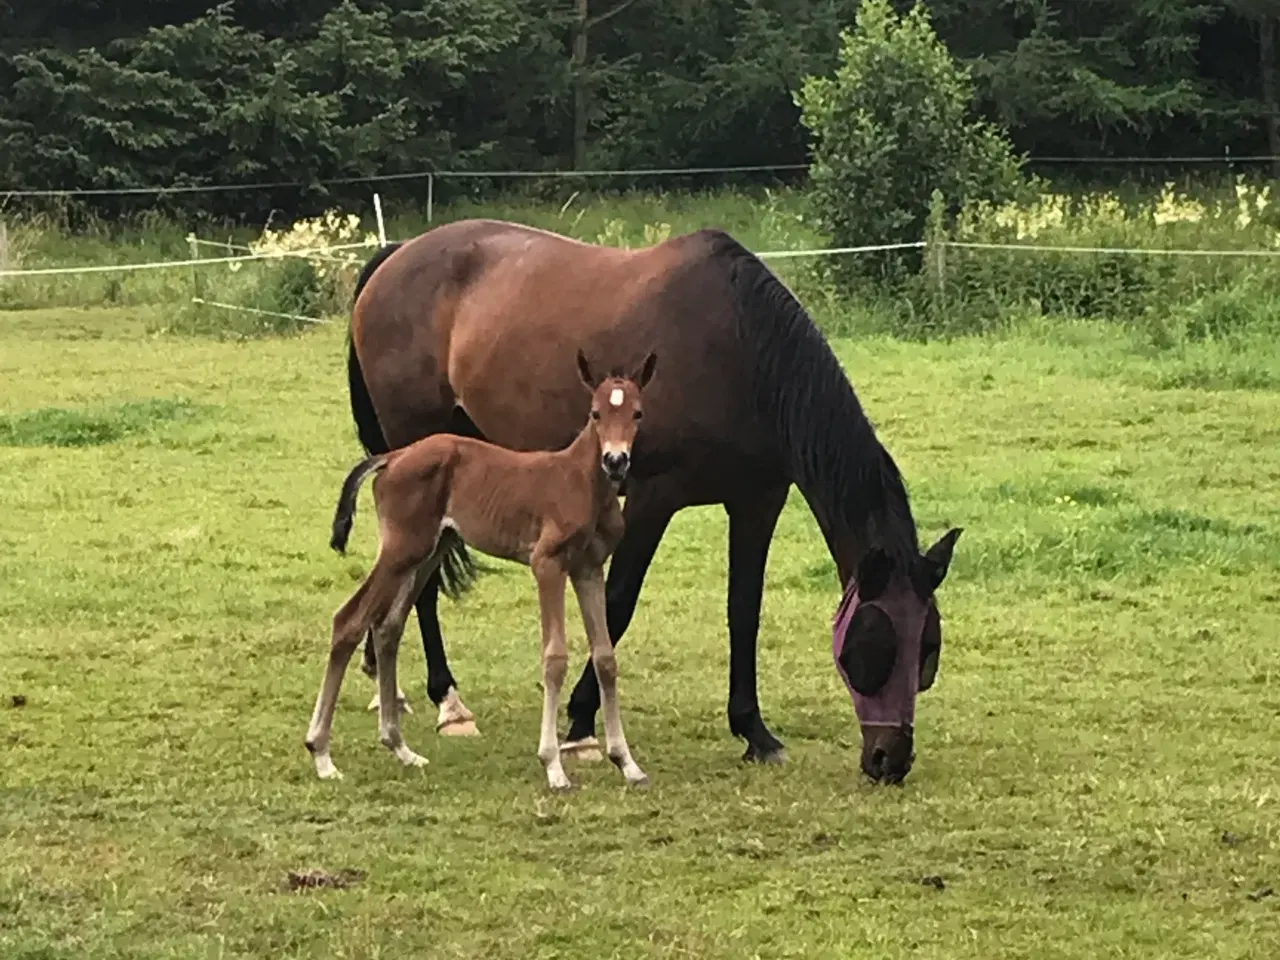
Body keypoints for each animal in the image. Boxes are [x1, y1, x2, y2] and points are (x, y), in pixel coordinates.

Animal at [304, 350, 655, 788]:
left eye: (637, 413)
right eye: (594, 413)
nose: (616, 460)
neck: (580, 479)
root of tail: (393, 457)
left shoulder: (588, 568)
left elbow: (606, 658)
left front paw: (627, 762)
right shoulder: (547, 564)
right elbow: (554, 657)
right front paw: (553, 766)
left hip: (428, 552)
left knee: (388, 627)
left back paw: (401, 748)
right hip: (402, 549)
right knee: (349, 620)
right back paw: (322, 753)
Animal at [340, 216, 962, 783]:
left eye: (928, 650)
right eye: (872, 646)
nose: (890, 761)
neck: (739, 349)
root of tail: (396, 256)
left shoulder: (757, 502)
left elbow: (744, 611)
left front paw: (754, 732)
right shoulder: (650, 499)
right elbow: (618, 602)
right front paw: (582, 724)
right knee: (421, 585)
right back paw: (448, 702)